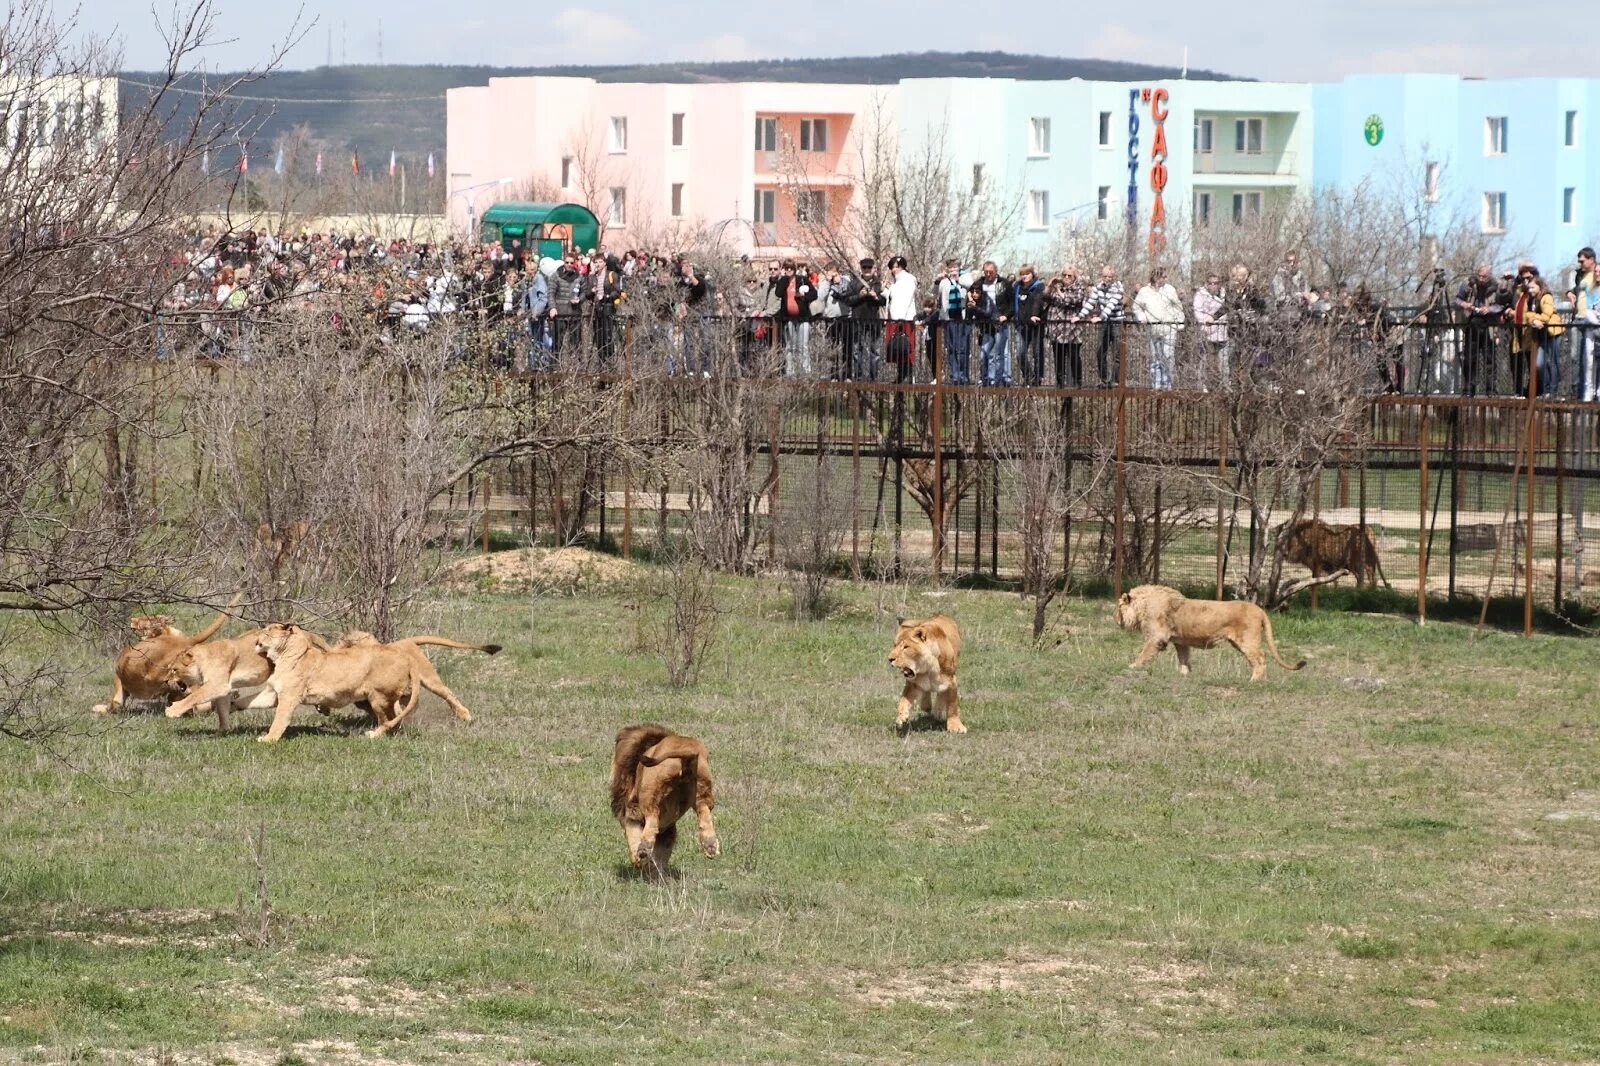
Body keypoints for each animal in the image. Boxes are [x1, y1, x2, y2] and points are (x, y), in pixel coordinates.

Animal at [604, 723, 720, 877]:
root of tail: (686, 749)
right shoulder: (669, 829)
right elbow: (662, 854)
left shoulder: (630, 812)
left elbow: (633, 836)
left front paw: (640, 861)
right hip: (702, 787)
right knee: (704, 812)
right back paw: (710, 845)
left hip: (649, 791)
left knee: (652, 821)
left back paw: (644, 848)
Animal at [1120, 582, 1305, 681]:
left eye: (1118, 608)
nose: (1115, 618)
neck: (1144, 605)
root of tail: (1260, 610)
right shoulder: (1181, 642)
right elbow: (1183, 658)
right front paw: (1185, 674)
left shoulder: (1157, 638)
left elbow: (1143, 654)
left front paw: (1131, 667)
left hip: (1247, 640)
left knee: (1260, 658)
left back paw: (1253, 681)